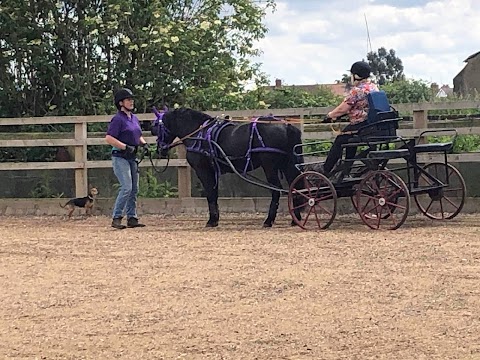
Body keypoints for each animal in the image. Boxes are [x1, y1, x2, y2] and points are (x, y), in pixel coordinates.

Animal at [152, 106, 302, 228]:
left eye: (156, 128)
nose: (160, 150)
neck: (198, 133)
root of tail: (286, 126)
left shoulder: (203, 170)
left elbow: (210, 194)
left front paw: (211, 221)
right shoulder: (212, 171)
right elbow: (214, 193)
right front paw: (215, 219)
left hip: (270, 166)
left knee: (276, 191)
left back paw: (269, 220)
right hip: (287, 165)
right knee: (294, 187)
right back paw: (295, 219)